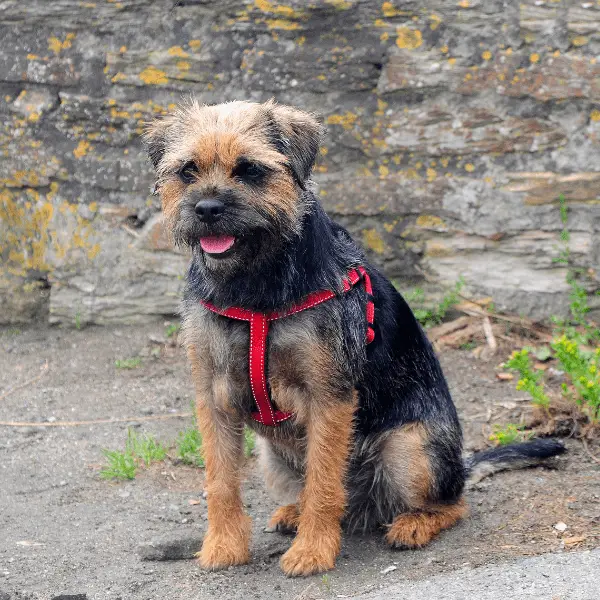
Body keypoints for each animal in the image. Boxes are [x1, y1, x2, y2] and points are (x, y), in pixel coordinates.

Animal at [144, 99, 564, 576]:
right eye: (188, 170)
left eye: (250, 169)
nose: (207, 208)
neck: (253, 288)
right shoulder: (214, 398)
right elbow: (220, 481)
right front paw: (223, 545)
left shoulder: (328, 397)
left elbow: (324, 481)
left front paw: (312, 551)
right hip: (272, 458)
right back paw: (295, 512)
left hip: (409, 449)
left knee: (452, 502)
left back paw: (413, 524)